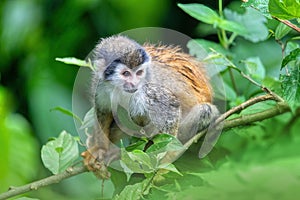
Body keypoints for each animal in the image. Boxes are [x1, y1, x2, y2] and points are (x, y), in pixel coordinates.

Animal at [81, 35, 219, 175]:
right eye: (126, 73)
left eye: (139, 73)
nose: (135, 83)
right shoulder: (100, 84)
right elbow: (103, 111)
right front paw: (100, 149)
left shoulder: (149, 89)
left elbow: (171, 109)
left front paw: (166, 160)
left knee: (205, 111)